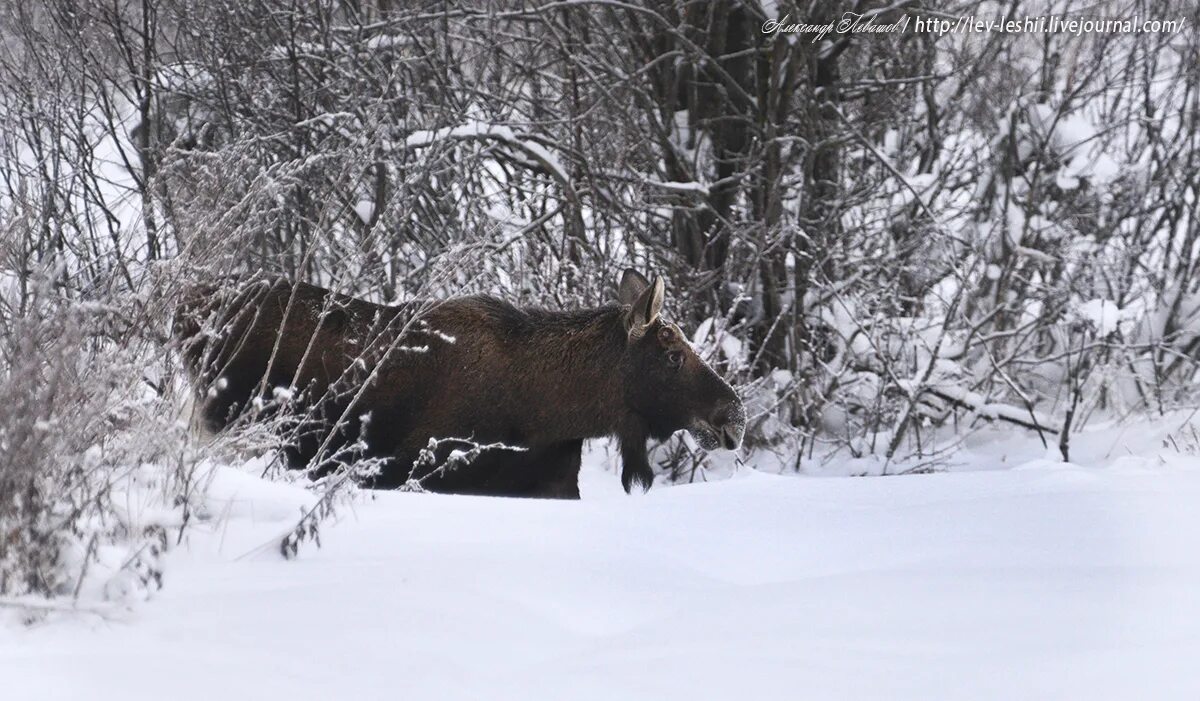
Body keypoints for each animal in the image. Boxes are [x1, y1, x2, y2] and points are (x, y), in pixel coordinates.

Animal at [175, 268, 744, 499]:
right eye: (672, 354)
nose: (734, 417)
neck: (555, 413)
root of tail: (186, 313)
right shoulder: (408, 472)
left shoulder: (554, 488)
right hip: (223, 429)